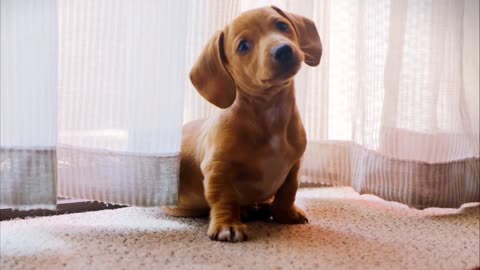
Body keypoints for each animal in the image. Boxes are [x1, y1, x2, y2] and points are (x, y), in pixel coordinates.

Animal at [166, 5, 322, 243]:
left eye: (282, 25)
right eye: (243, 46)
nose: (283, 50)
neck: (270, 112)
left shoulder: (294, 165)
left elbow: (288, 191)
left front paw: (285, 214)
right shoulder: (217, 168)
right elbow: (224, 198)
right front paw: (227, 225)